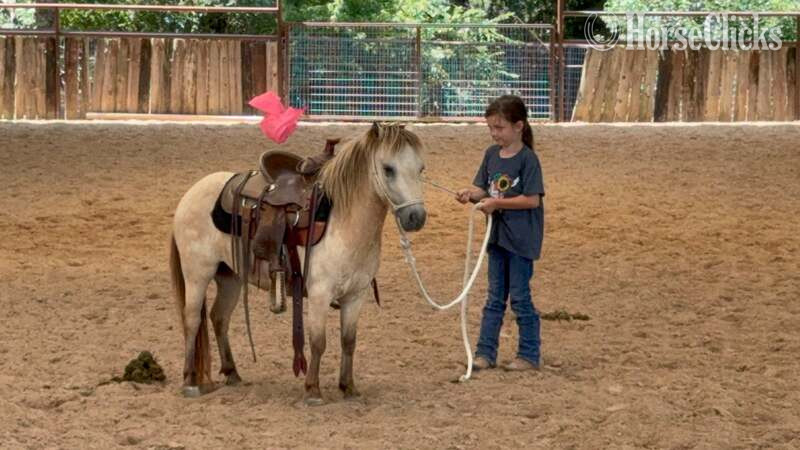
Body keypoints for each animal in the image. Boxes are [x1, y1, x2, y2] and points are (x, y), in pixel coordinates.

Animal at [169, 123, 427, 405]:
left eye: (421, 169)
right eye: (388, 169)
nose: (416, 217)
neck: (343, 222)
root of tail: (190, 195)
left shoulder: (355, 296)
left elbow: (349, 341)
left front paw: (348, 387)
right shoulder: (319, 294)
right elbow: (318, 342)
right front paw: (313, 390)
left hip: (230, 277)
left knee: (219, 318)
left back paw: (232, 373)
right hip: (197, 274)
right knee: (192, 320)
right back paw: (190, 381)